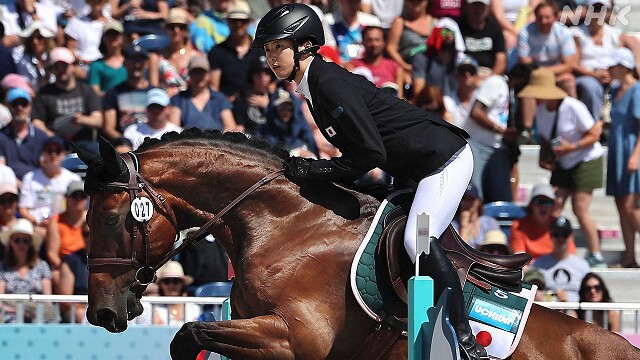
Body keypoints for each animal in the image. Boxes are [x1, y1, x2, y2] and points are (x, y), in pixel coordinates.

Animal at [81, 130, 640, 360]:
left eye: (109, 218)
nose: (101, 313)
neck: (285, 228)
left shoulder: (296, 339)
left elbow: (190, 334)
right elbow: (191, 337)